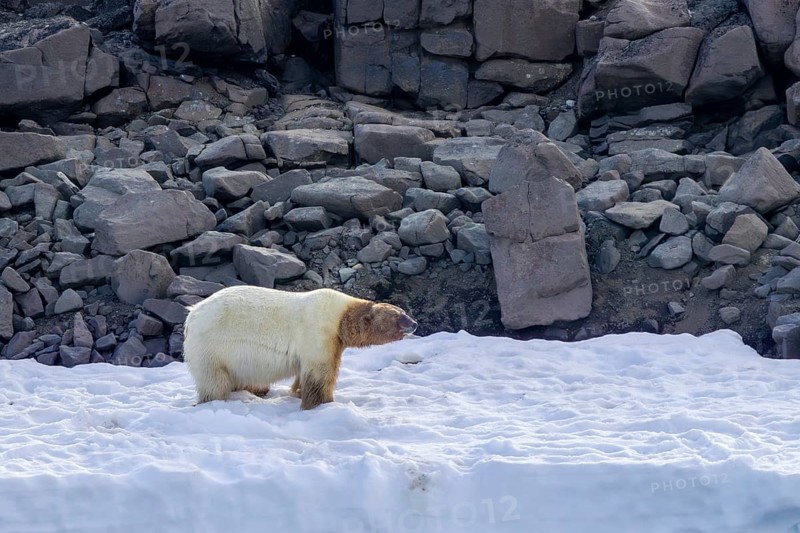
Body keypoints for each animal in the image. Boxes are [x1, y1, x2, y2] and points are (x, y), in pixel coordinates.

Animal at [182, 286, 417, 409]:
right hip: (212, 347)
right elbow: (320, 375)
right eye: (398, 316)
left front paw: (297, 392)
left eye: (403, 311)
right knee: (214, 380)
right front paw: (322, 404)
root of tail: (192, 314)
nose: (414, 323)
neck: (340, 318)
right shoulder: (320, 334)